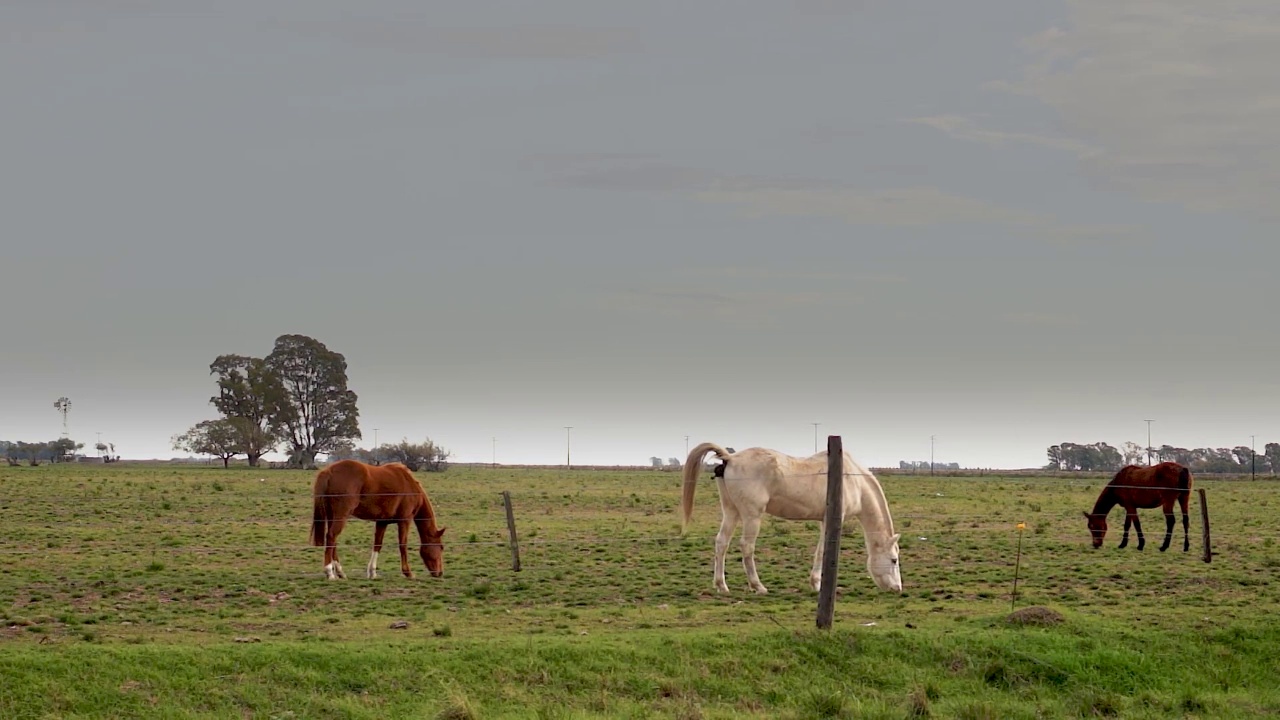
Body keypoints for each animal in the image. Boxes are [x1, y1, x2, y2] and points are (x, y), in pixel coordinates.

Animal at [311, 458, 448, 576]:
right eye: (441, 547)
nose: (439, 573)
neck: (410, 485)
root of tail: (329, 471)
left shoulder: (382, 522)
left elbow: (377, 544)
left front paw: (372, 572)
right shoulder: (405, 520)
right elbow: (402, 545)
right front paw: (407, 572)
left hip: (331, 516)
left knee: (332, 540)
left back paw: (340, 572)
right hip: (341, 516)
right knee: (331, 536)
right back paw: (330, 572)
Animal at [680, 440, 901, 591]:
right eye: (893, 560)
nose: (897, 588)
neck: (853, 480)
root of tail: (730, 458)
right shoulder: (830, 520)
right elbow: (821, 551)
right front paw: (817, 584)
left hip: (731, 512)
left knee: (721, 543)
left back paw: (721, 585)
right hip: (752, 516)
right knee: (747, 546)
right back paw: (758, 586)